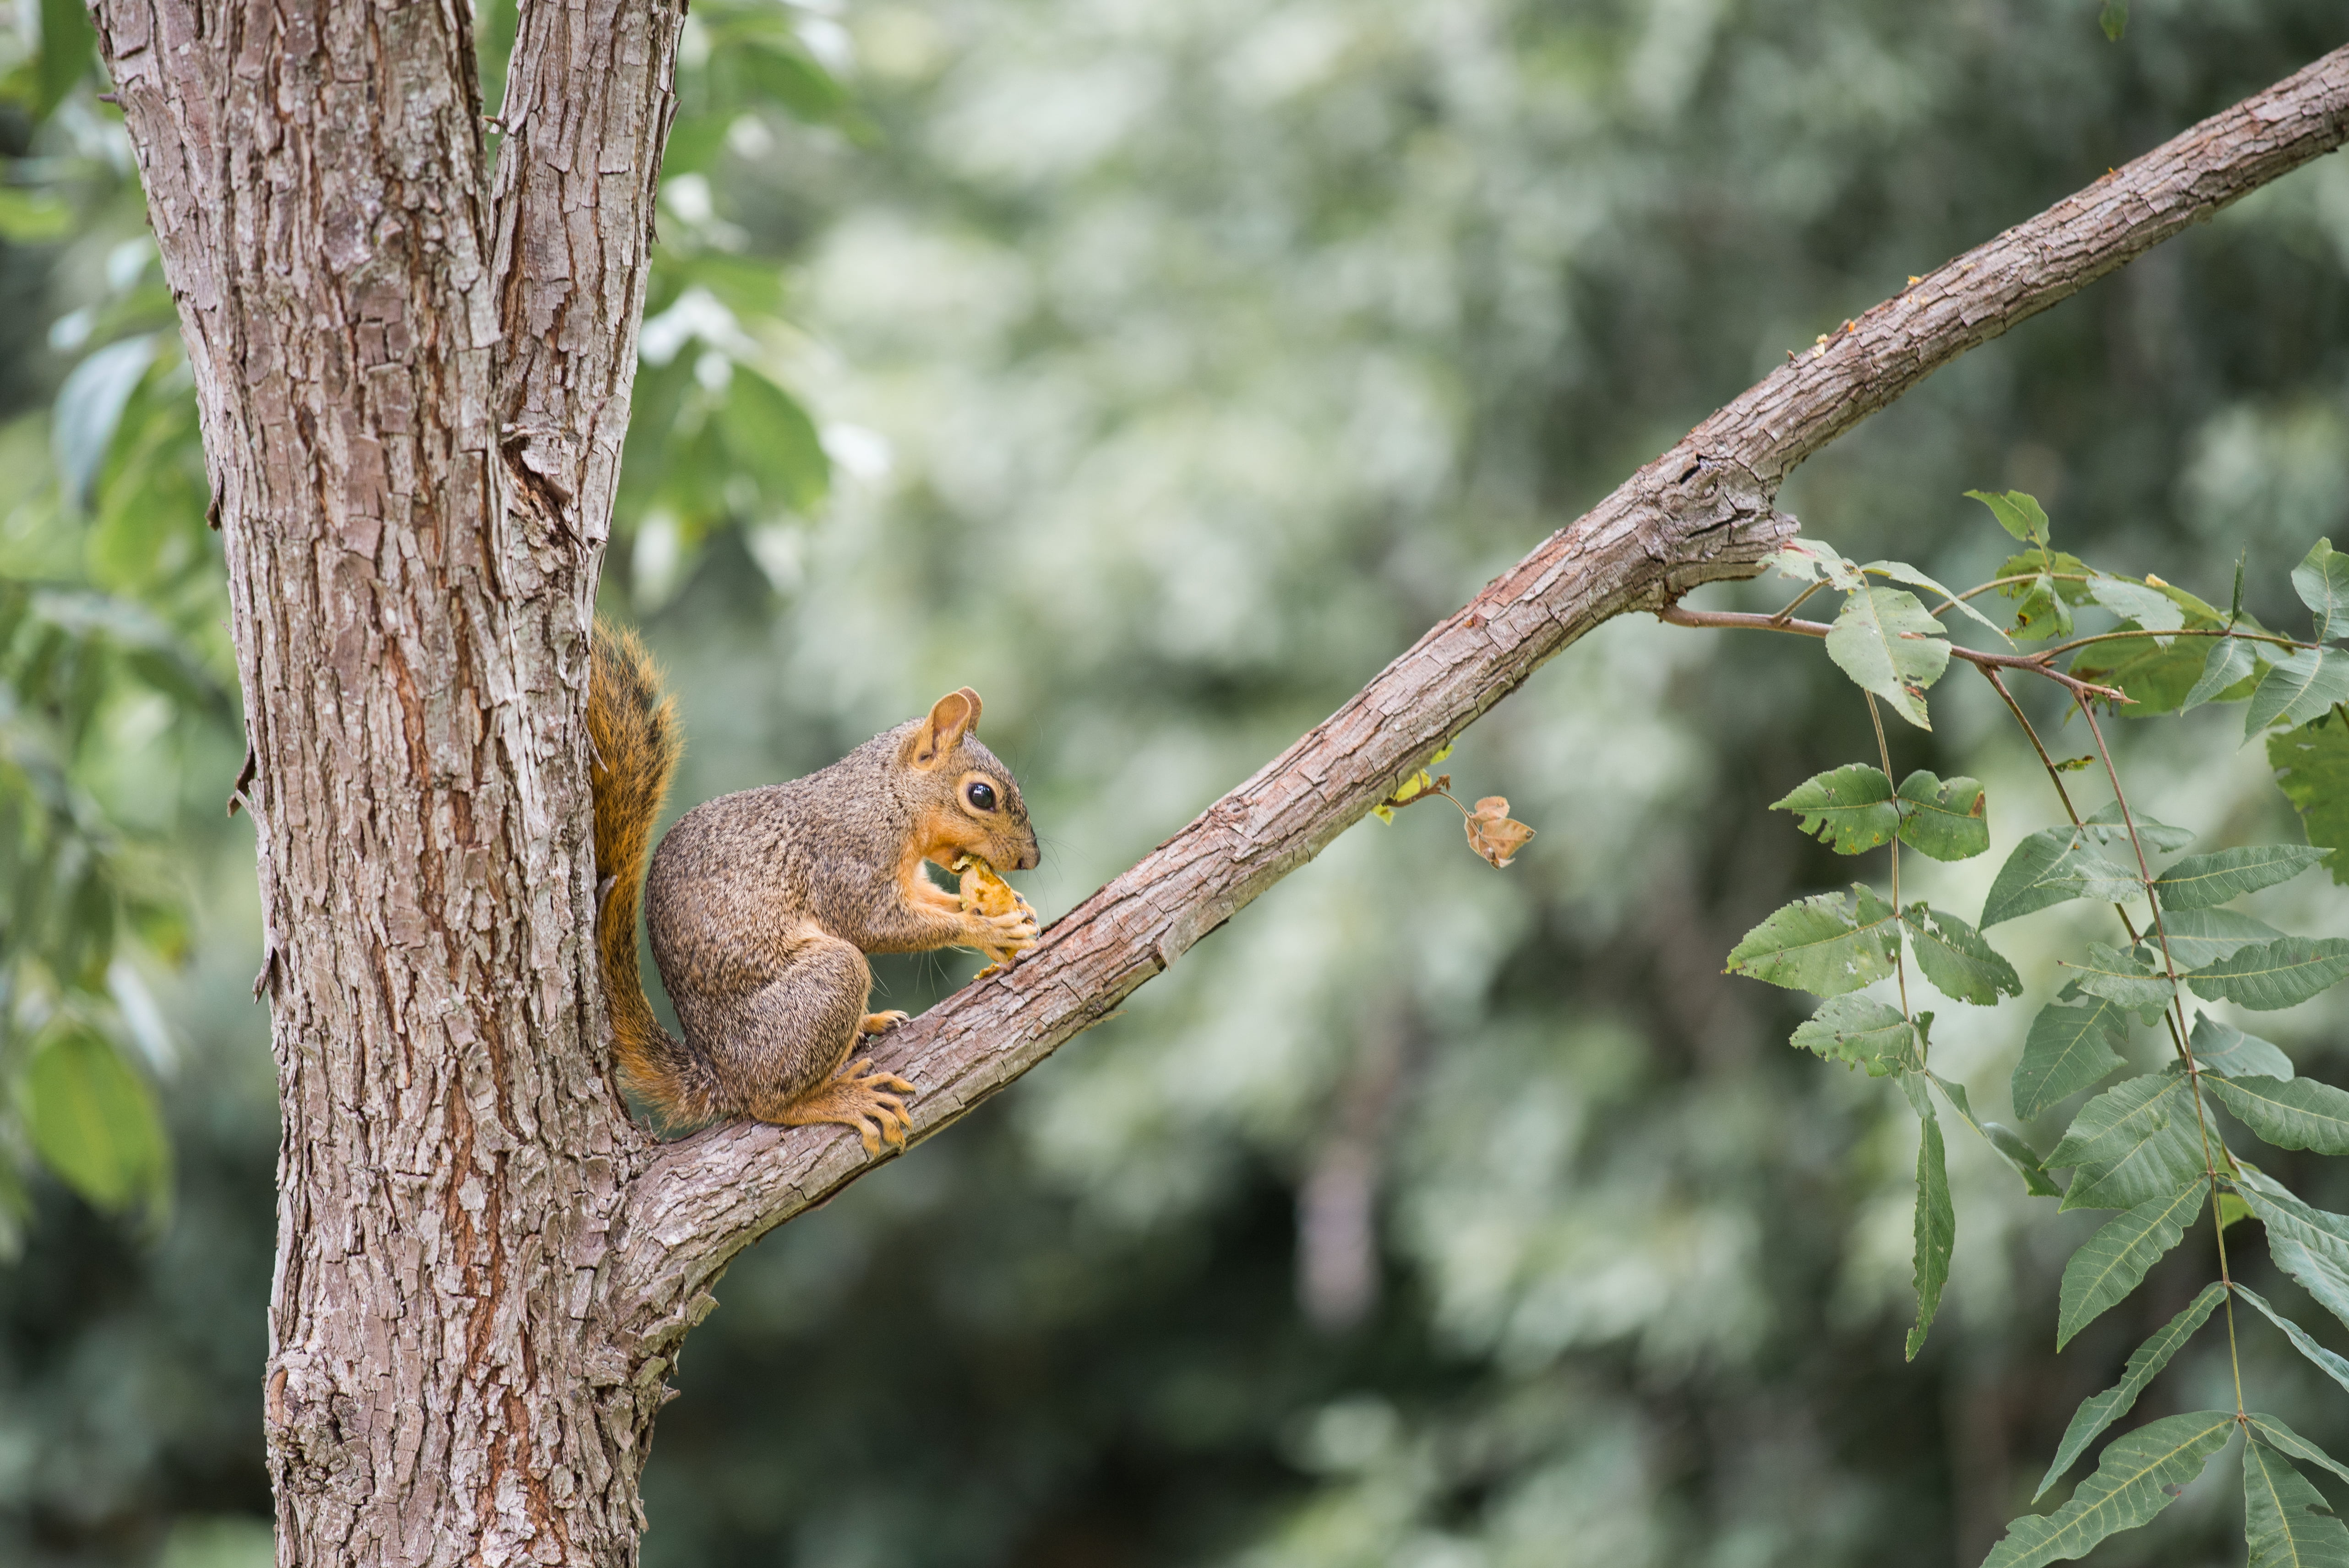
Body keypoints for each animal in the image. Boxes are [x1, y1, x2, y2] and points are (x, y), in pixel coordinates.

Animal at [586, 622, 1041, 1152]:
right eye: (981, 795)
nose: (1030, 859)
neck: (886, 797)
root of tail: (718, 1075)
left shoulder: (910, 877)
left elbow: (933, 901)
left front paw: (1012, 908)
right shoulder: (847, 862)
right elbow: (875, 924)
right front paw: (986, 929)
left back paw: (868, 1024)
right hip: (815, 993)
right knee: (769, 1103)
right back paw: (841, 1098)